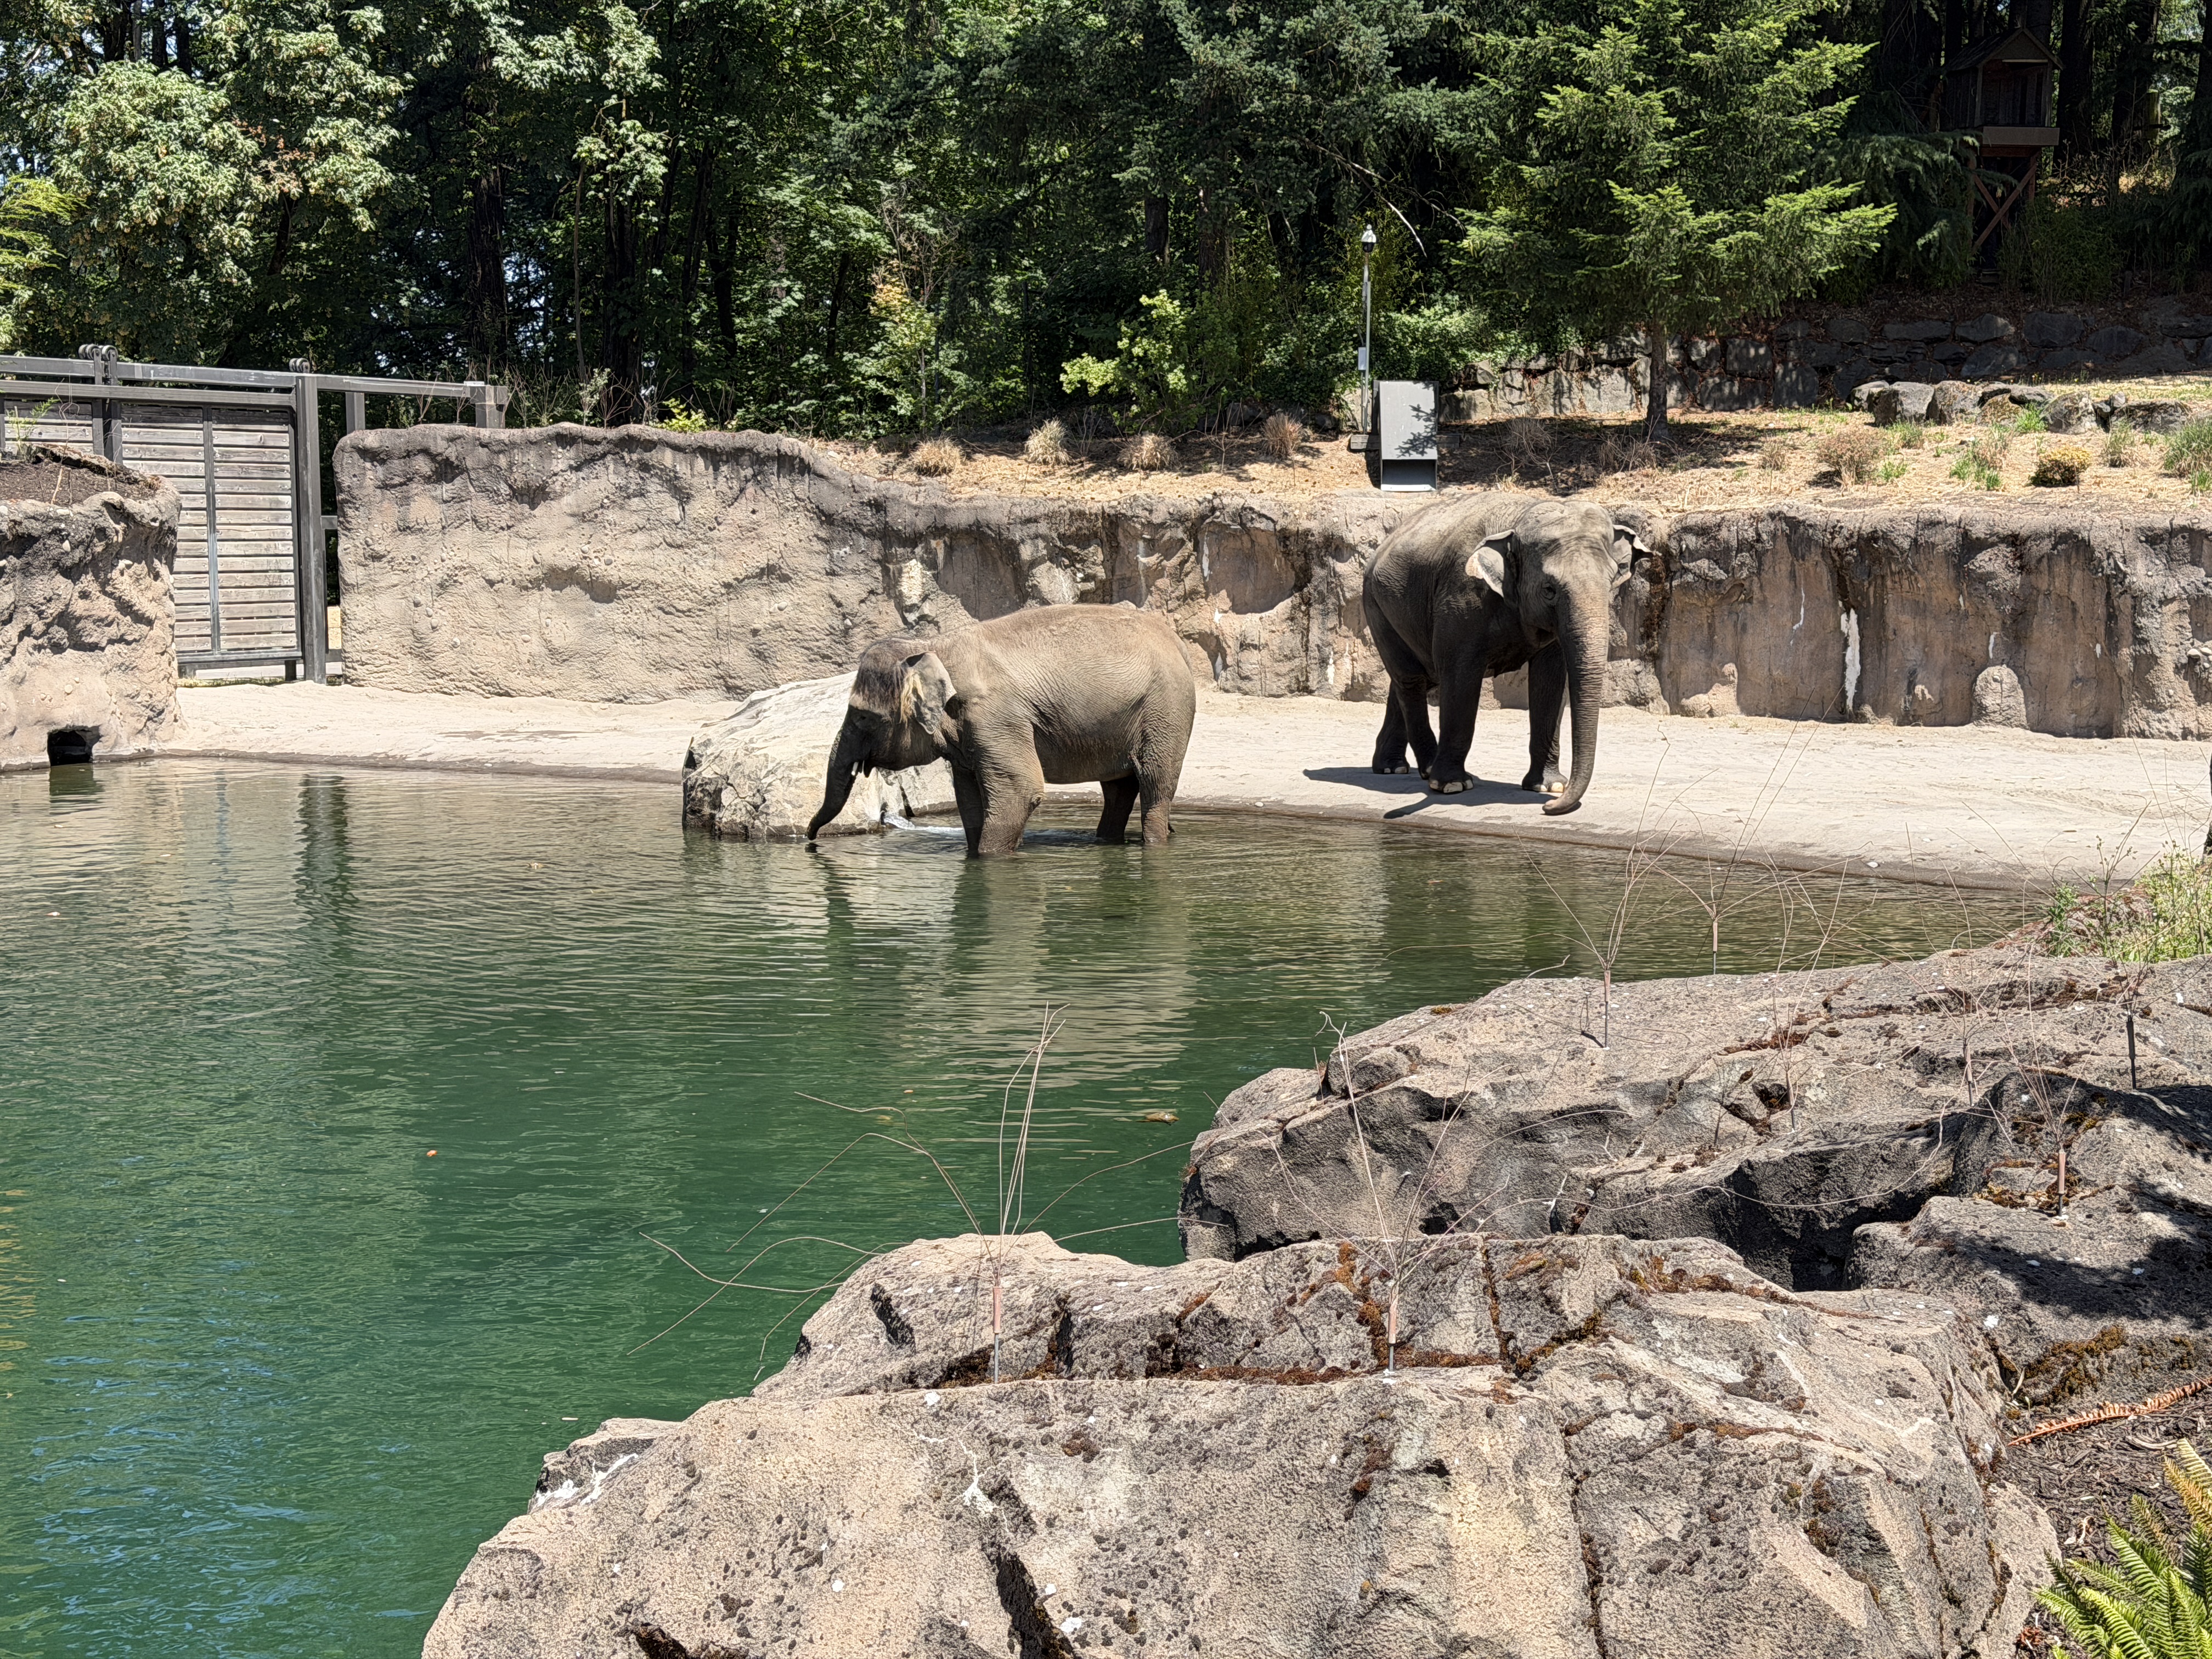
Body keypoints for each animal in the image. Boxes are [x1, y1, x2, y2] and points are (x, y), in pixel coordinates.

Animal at [806, 603, 1197, 856]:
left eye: (863, 718)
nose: (811, 839)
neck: (931, 645)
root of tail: (1177, 642)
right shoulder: (968, 733)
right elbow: (968, 797)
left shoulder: (996, 717)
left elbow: (1020, 791)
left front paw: (990, 860)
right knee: (1118, 789)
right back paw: (1106, 842)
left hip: (1167, 712)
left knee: (1155, 785)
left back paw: (1154, 843)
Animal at [1363, 495, 1646, 817]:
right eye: (1549, 590)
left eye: (1612, 581)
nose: (1550, 808)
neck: (1519, 521)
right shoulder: (1461, 597)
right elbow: (1461, 678)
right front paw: (1452, 786)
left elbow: (1550, 681)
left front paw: (1549, 786)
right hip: (1377, 606)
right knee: (1412, 680)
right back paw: (1429, 771)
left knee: (1414, 679)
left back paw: (1393, 768)